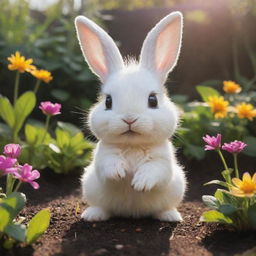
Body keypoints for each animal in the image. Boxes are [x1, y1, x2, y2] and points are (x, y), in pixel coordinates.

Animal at [74, 11, 186, 221]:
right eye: (108, 101)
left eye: (153, 100)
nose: (129, 119)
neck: (132, 145)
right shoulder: (102, 156)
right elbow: (107, 164)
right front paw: (119, 172)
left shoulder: (163, 162)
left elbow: (155, 170)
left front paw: (140, 183)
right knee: (102, 207)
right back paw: (92, 215)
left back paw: (170, 216)